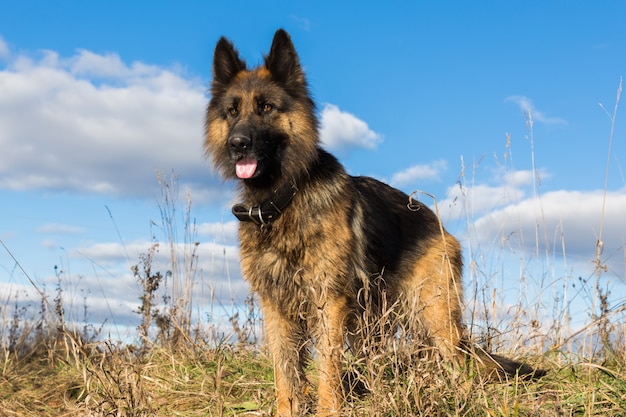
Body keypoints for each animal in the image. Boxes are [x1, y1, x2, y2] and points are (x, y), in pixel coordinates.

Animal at [206, 27, 540, 414]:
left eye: (266, 107)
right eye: (232, 111)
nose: (237, 144)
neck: (286, 197)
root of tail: (439, 224)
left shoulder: (328, 303)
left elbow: (327, 372)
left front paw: (329, 410)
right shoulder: (276, 308)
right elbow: (285, 375)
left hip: (434, 316)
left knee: (460, 364)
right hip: (374, 325)